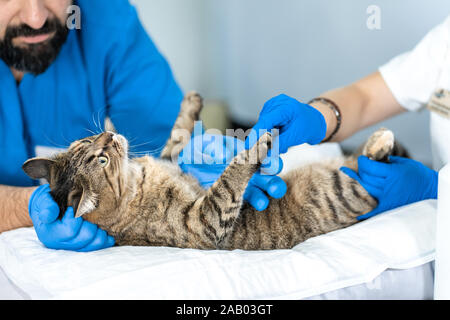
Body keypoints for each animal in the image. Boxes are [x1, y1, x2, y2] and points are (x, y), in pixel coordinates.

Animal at [22, 92, 400, 250]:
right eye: (99, 159)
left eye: (89, 141)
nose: (110, 134)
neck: (137, 175)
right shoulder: (205, 222)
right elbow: (231, 177)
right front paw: (256, 145)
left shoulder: (172, 156)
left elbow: (178, 133)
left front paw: (191, 102)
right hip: (347, 188)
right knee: (367, 169)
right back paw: (383, 144)